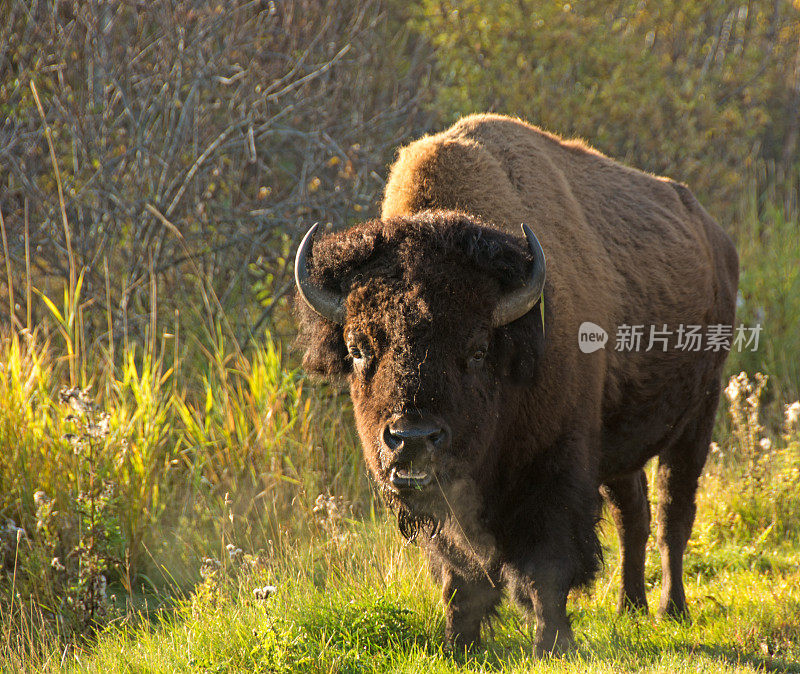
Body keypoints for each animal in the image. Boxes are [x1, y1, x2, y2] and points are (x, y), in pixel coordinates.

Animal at [294, 113, 736, 652]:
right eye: (358, 348)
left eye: (478, 349)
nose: (412, 438)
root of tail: (715, 237)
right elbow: (460, 575)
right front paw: (457, 645)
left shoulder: (556, 468)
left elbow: (547, 565)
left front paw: (553, 644)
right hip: (621, 446)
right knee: (634, 513)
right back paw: (629, 607)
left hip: (698, 416)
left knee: (675, 513)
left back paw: (672, 610)